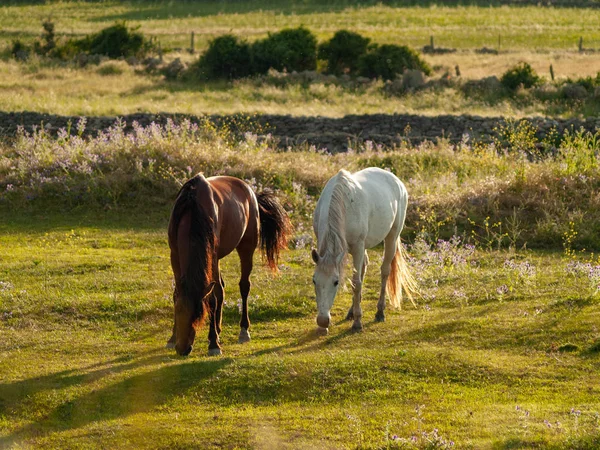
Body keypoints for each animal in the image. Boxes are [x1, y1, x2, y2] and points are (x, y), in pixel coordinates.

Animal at [166, 174, 292, 356]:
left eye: (199, 314)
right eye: (178, 311)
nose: (182, 349)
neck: (192, 210)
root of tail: (250, 191)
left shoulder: (211, 255)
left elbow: (211, 299)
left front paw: (213, 344)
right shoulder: (175, 256)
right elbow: (178, 294)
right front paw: (172, 338)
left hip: (246, 248)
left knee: (244, 286)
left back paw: (243, 330)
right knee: (220, 288)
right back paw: (218, 329)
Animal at [310, 167, 418, 332]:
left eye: (336, 282)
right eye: (314, 280)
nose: (322, 321)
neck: (343, 203)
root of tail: (396, 180)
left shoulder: (358, 248)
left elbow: (356, 283)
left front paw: (357, 322)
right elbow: (357, 280)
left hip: (391, 238)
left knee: (385, 271)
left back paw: (380, 312)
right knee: (364, 267)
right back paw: (351, 311)